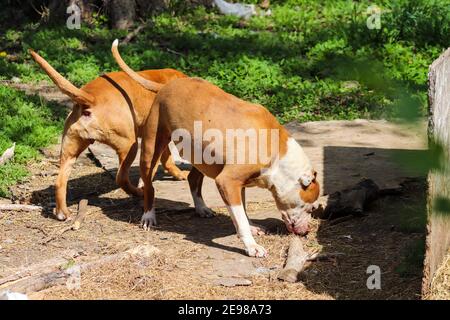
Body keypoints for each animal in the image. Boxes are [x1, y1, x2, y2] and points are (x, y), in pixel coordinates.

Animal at [29, 50, 188, 221]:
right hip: (129, 145)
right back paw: (138, 192)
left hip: (69, 151)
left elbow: (167, 159)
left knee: (60, 181)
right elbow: (165, 159)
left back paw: (62, 213)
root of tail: (89, 97)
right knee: (121, 177)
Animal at [111, 40, 320, 258]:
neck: (279, 154)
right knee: (149, 186)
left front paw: (252, 227)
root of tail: (167, 85)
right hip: (152, 148)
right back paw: (148, 216)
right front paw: (251, 245)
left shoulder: (238, 184)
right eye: (311, 208)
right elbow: (240, 218)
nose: (307, 231)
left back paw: (202, 208)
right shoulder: (227, 181)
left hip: (201, 156)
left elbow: (242, 211)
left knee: (193, 179)